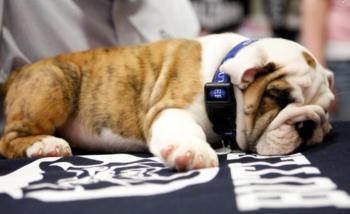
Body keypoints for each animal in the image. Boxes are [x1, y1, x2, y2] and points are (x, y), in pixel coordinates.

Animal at [0, 33, 334, 171]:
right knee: (9, 138)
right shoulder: (171, 109)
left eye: (327, 108)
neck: (220, 80)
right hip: (56, 80)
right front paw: (192, 152)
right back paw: (45, 144)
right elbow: (185, 130)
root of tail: (17, 72)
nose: (308, 124)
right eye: (277, 96)